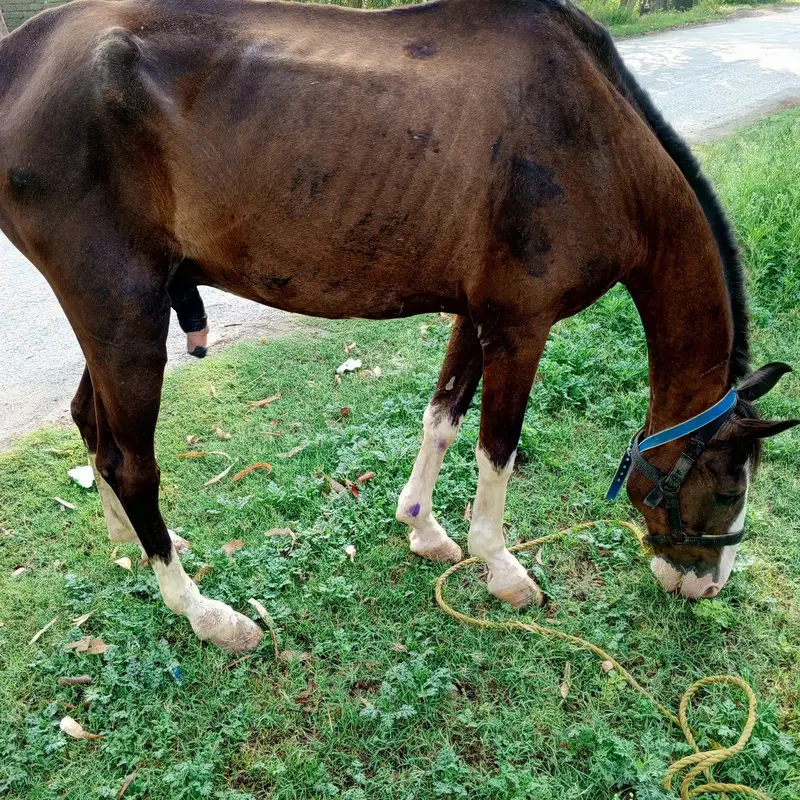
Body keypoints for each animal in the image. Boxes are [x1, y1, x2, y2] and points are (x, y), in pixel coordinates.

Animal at [1, 0, 796, 653]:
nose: (705, 586)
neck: (600, 143)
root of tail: (21, 57)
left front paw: (423, 526)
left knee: (92, 426)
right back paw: (203, 611)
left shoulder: (479, 311)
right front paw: (500, 567)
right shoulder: (522, 325)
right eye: (728, 488)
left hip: (119, 313)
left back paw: (133, 541)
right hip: (122, 310)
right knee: (131, 463)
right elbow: (497, 447)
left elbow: (443, 415)